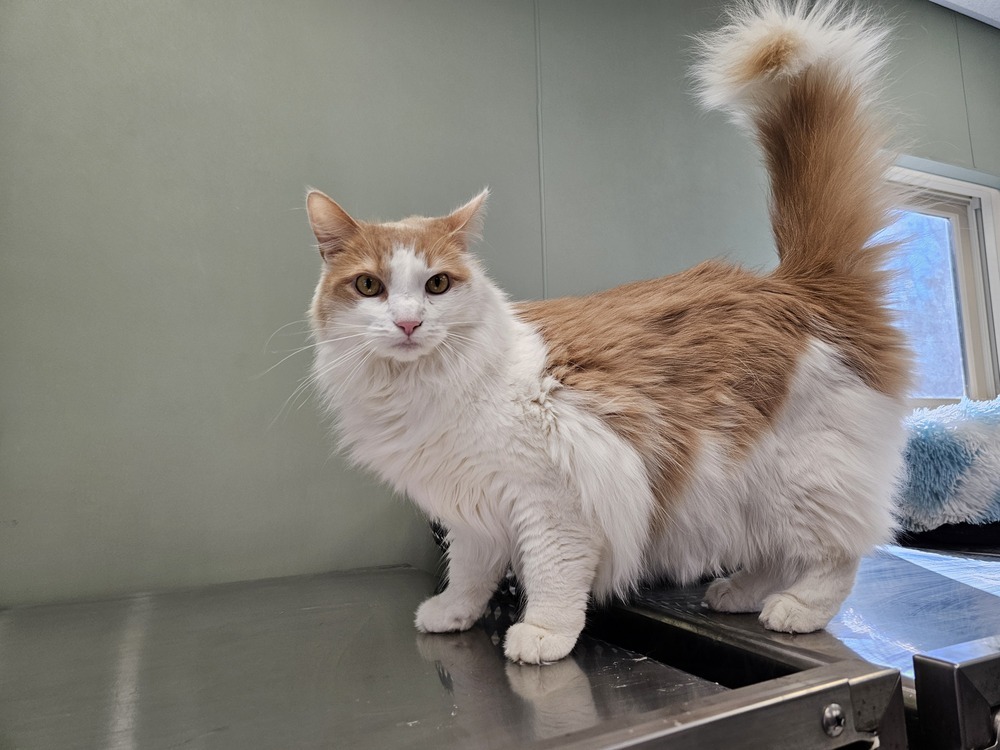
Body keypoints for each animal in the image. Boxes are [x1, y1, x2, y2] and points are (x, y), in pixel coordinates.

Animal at [304, 2, 916, 668]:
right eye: (370, 286)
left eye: (437, 284)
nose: (410, 321)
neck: (424, 391)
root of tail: (796, 283)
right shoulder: (474, 511)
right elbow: (468, 572)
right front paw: (452, 614)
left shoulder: (554, 499)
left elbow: (553, 575)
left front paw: (542, 634)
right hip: (739, 490)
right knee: (775, 553)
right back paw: (738, 594)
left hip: (797, 478)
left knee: (838, 552)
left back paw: (797, 609)